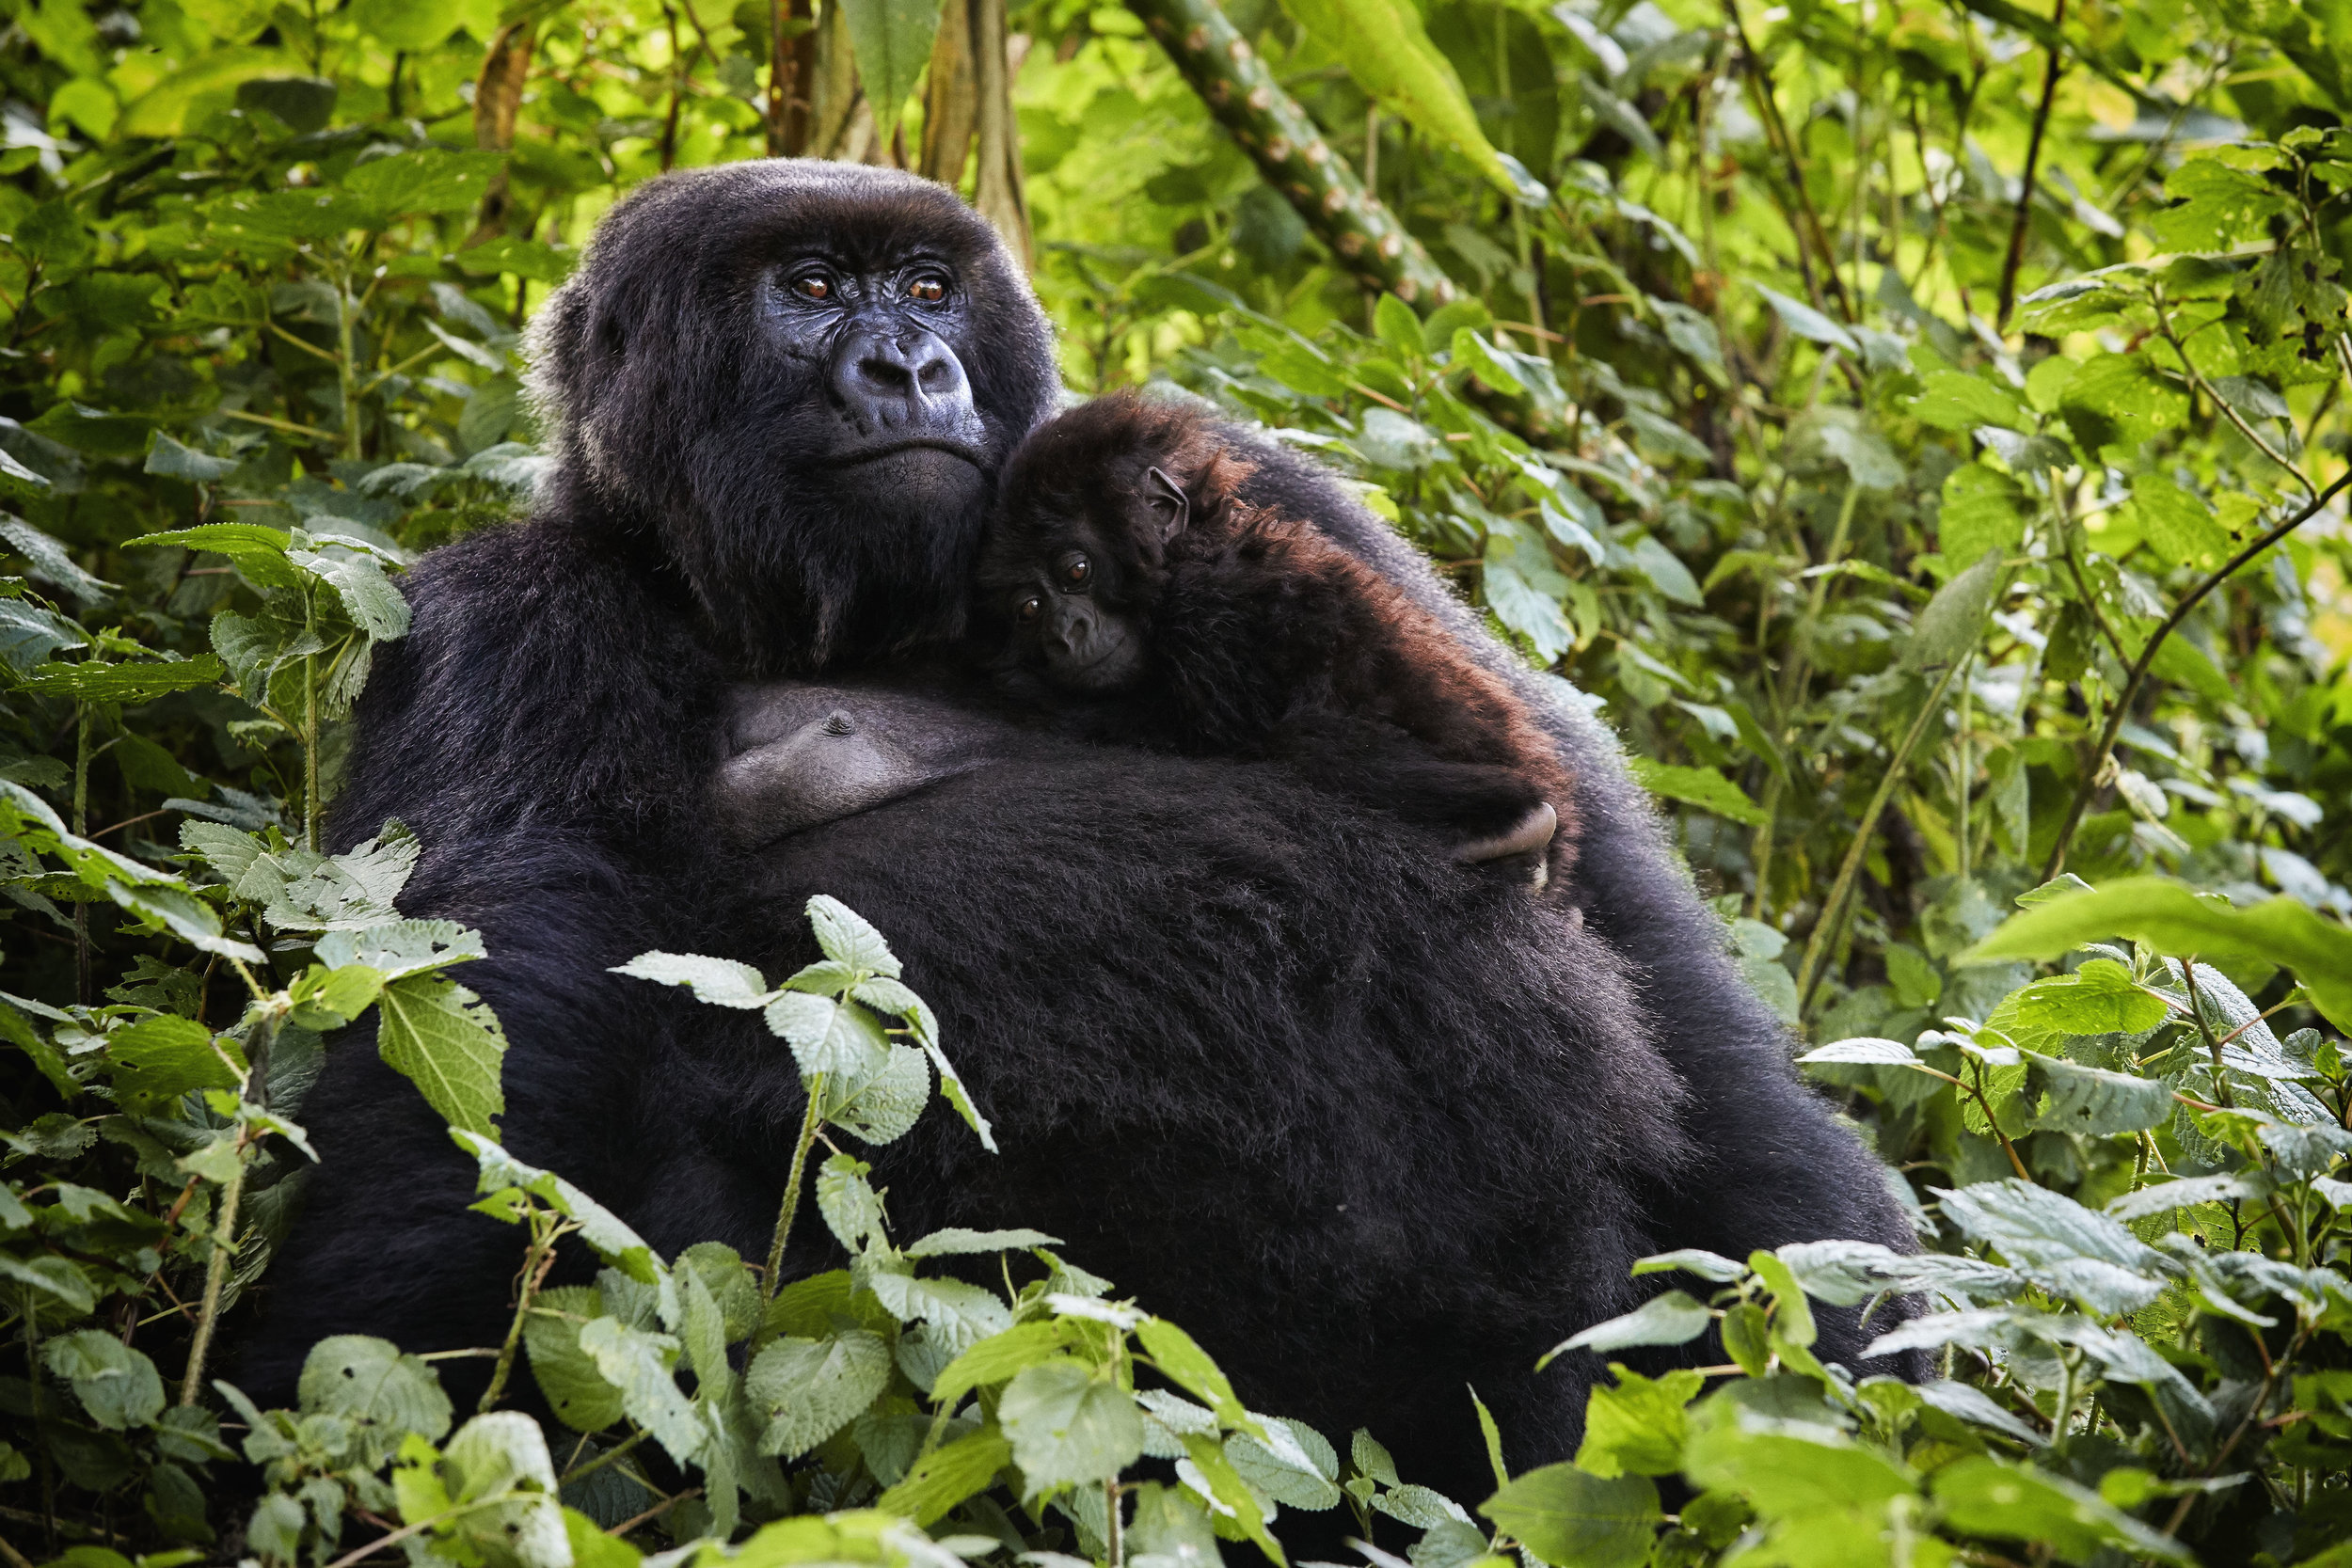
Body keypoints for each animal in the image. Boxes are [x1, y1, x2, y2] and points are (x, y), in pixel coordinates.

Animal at [978, 392, 1581, 883]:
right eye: (1029, 610)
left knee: (1301, 737)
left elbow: (1194, 732)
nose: (1063, 634)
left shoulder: (1210, 612)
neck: (1193, 552)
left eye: (1076, 571)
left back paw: (1515, 820)